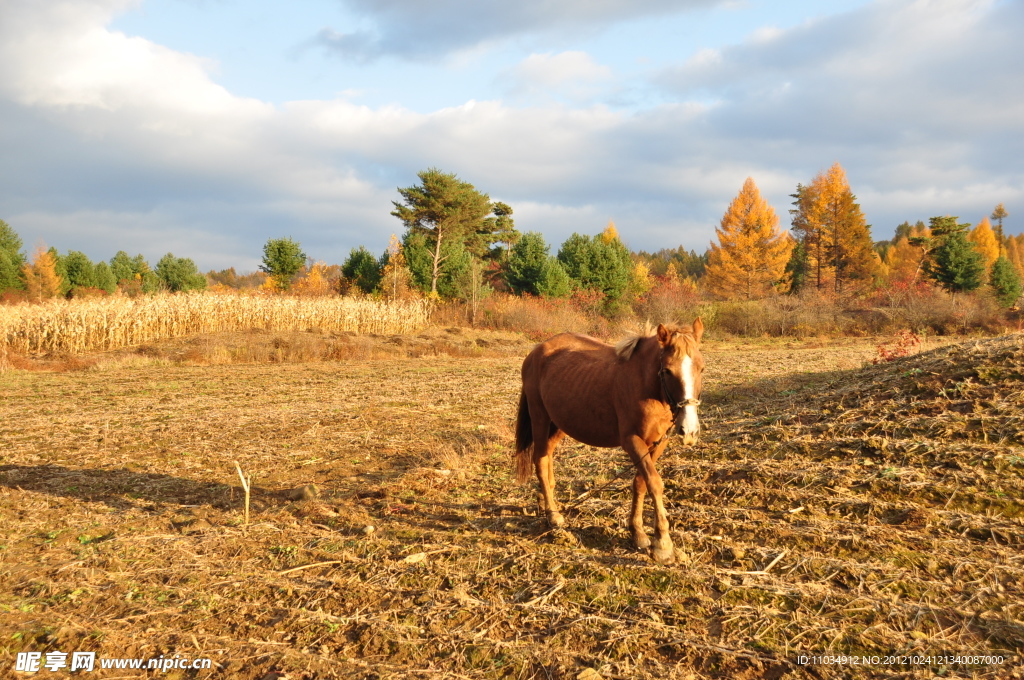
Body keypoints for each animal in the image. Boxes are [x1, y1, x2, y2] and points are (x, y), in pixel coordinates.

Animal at [516, 319, 700, 561]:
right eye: (668, 371)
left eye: (701, 368)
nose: (689, 430)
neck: (646, 385)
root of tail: (537, 351)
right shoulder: (632, 441)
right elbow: (654, 483)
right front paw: (662, 543)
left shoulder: (657, 443)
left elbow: (640, 483)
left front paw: (637, 532)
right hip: (540, 417)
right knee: (540, 460)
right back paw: (553, 514)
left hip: (559, 423)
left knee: (547, 457)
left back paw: (546, 501)